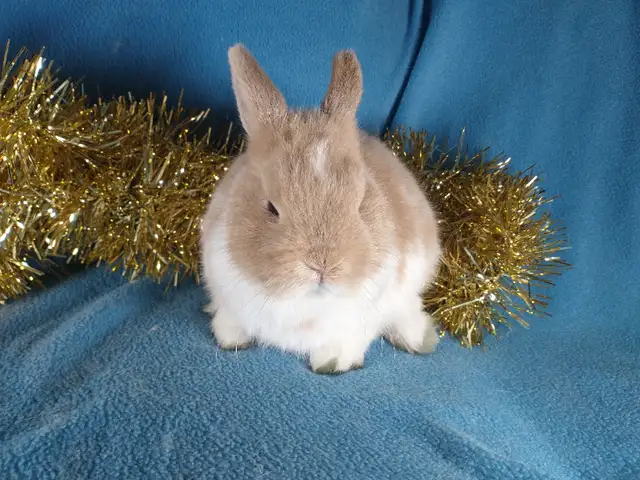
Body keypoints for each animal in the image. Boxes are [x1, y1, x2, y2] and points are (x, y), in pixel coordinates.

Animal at [199, 44, 441, 374]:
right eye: (271, 207)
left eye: (361, 201)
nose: (323, 265)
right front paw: (230, 339)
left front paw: (333, 363)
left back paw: (420, 339)